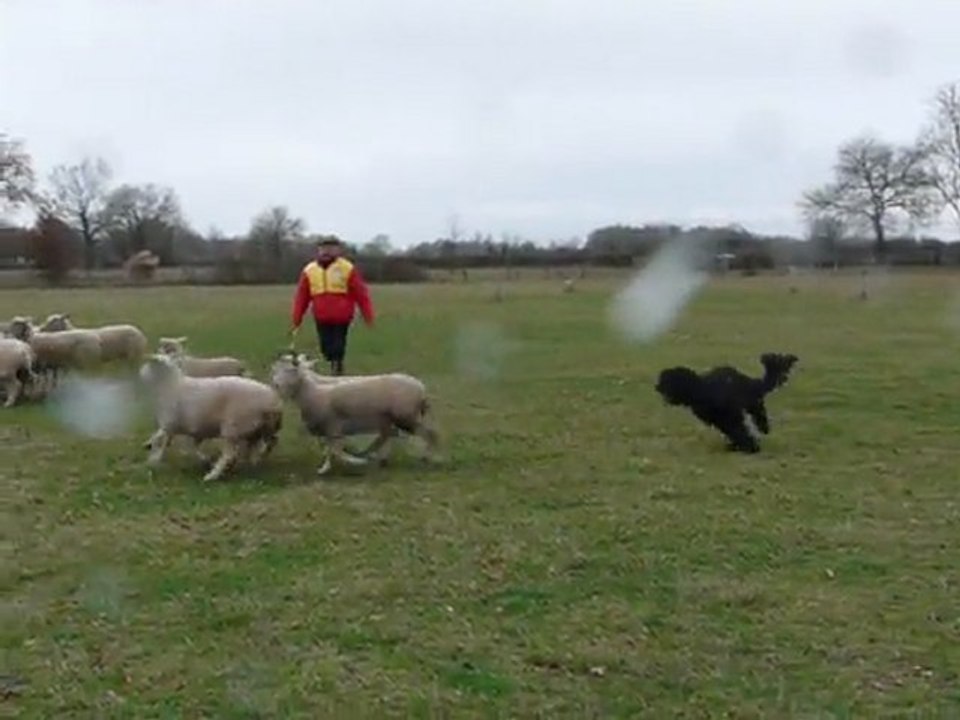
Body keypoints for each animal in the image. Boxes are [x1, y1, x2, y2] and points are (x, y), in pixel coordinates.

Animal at [138, 353, 284, 482]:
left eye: (148, 364)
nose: (140, 374)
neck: (170, 385)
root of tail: (273, 401)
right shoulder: (187, 427)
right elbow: (187, 445)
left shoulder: (170, 423)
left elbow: (160, 439)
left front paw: (152, 458)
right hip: (259, 428)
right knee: (265, 443)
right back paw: (253, 462)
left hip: (233, 427)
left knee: (230, 454)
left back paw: (212, 475)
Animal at [268, 351, 440, 476]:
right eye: (275, 369)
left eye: (291, 370)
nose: (275, 385)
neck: (312, 390)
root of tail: (421, 388)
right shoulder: (329, 429)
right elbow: (329, 449)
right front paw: (325, 468)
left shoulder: (333, 426)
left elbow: (336, 450)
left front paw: (354, 462)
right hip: (394, 419)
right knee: (387, 436)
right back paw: (378, 457)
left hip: (406, 417)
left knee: (430, 434)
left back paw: (426, 458)